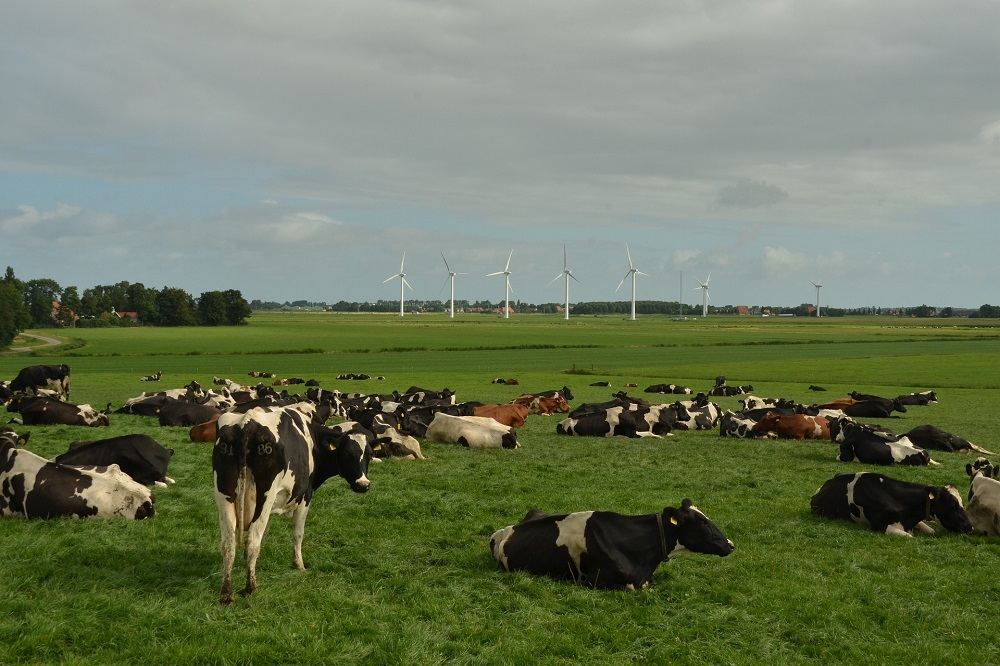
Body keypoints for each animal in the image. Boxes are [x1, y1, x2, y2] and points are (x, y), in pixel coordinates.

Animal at [215, 404, 376, 600]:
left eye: (369, 455)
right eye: (347, 453)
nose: (363, 485)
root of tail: (248, 422)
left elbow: (264, 534)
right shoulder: (305, 497)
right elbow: (297, 533)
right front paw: (299, 564)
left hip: (224, 495)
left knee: (228, 545)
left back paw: (226, 594)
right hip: (264, 497)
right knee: (252, 541)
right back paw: (250, 589)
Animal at [808, 472, 972, 536]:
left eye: (962, 502)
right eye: (953, 505)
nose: (970, 527)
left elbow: (931, 530)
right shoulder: (880, 526)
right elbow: (909, 536)